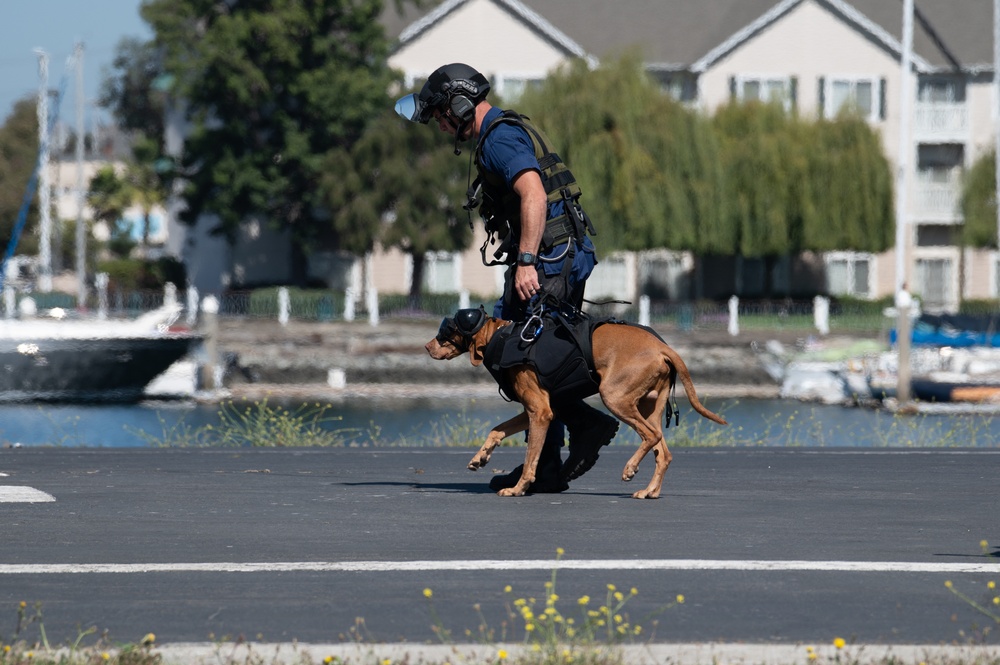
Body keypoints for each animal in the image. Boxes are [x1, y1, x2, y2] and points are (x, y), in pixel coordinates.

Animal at [424, 312, 728, 498]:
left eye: (444, 332)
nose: (426, 347)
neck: (501, 335)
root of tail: (663, 348)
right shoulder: (534, 410)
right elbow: (496, 429)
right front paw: (481, 457)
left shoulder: (541, 412)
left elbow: (531, 458)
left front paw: (519, 488)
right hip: (648, 407)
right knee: (663, 452)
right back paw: (650, 490)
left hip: (615, 397)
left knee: (650, 436)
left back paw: (629, 469)